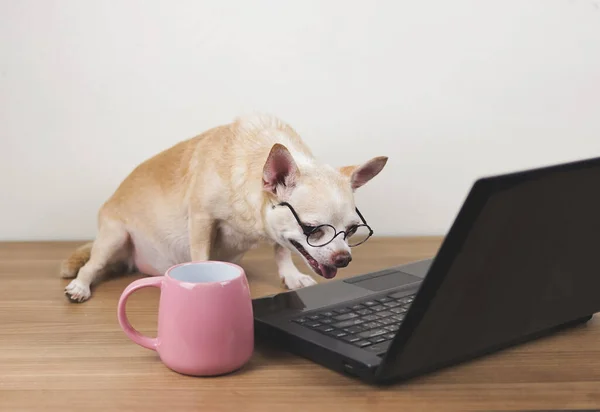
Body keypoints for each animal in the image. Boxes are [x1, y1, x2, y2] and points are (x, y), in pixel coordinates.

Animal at [62, 114, 390, 300]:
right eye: (312, 230)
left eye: (351, 231)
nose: (344, 259)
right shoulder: (201, 219)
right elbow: (201, 255)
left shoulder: (277, 229)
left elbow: (282, 249)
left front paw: (290, 275)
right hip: (115, 237)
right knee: (92, 265)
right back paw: (80, 286)